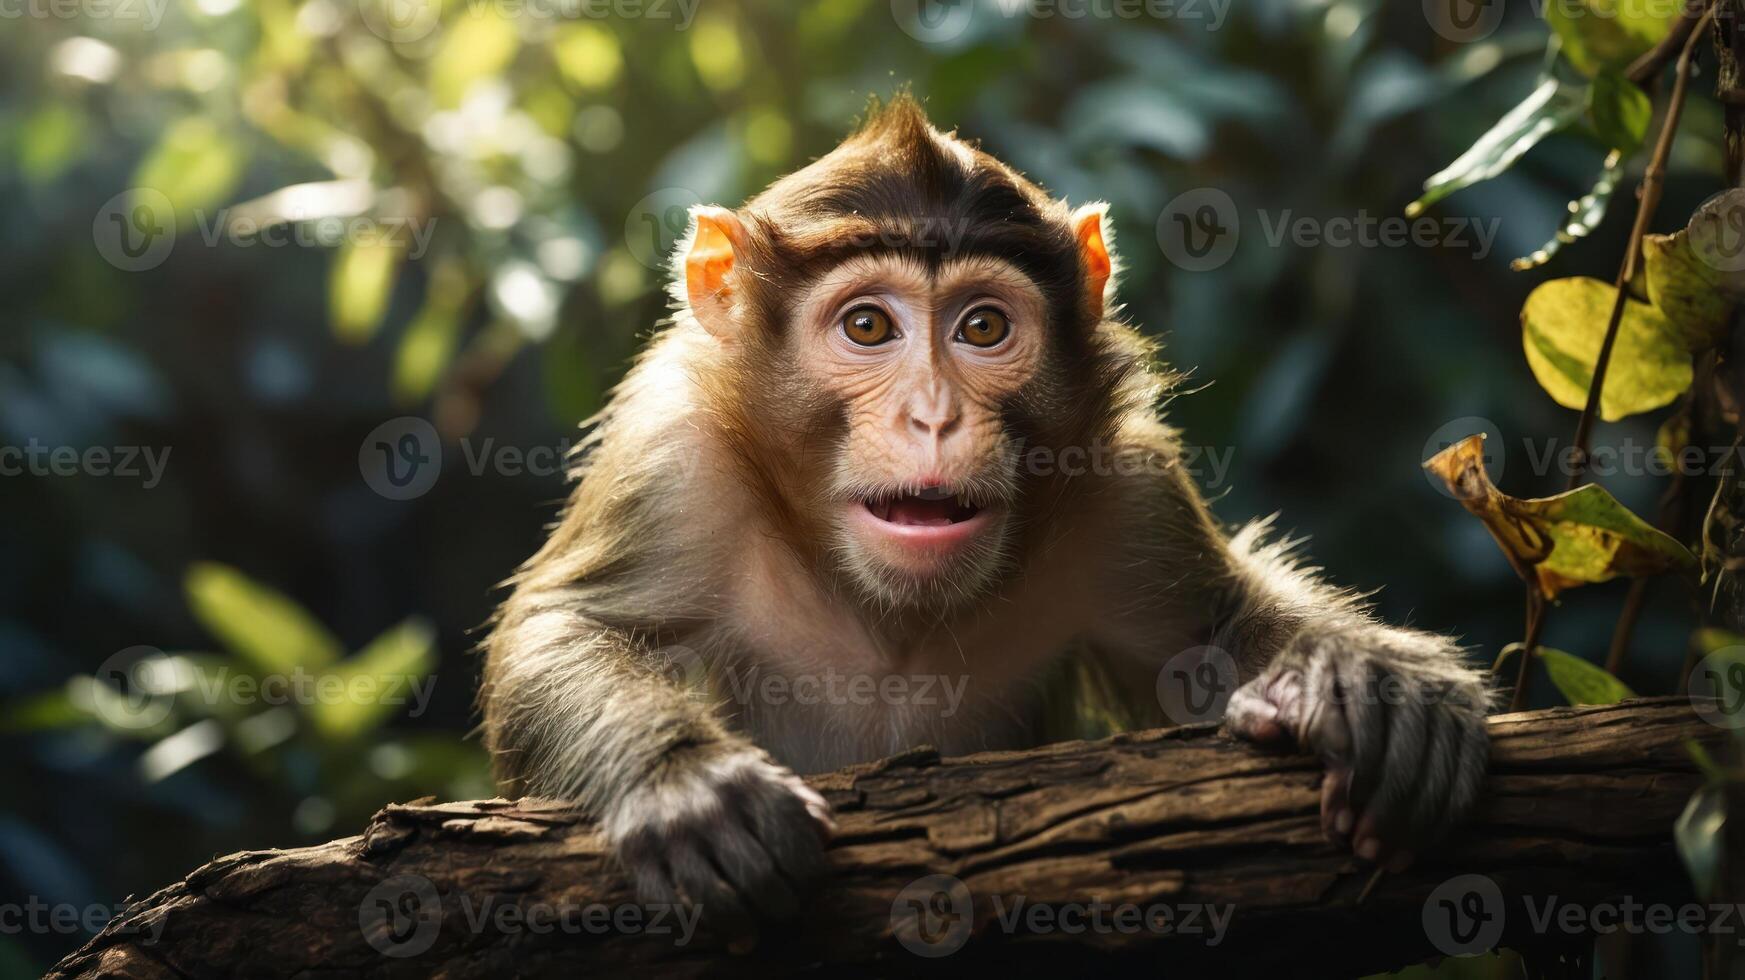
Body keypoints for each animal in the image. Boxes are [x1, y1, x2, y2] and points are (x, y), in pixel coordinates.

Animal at [478, 95, 1486, 927]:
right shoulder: (675, 463)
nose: (934, 415)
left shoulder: (1122, 487)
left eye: (983, 328)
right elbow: (566, 625)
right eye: (868, 326)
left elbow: (1210, 628)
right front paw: (683, 779)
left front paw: (1362, 681)